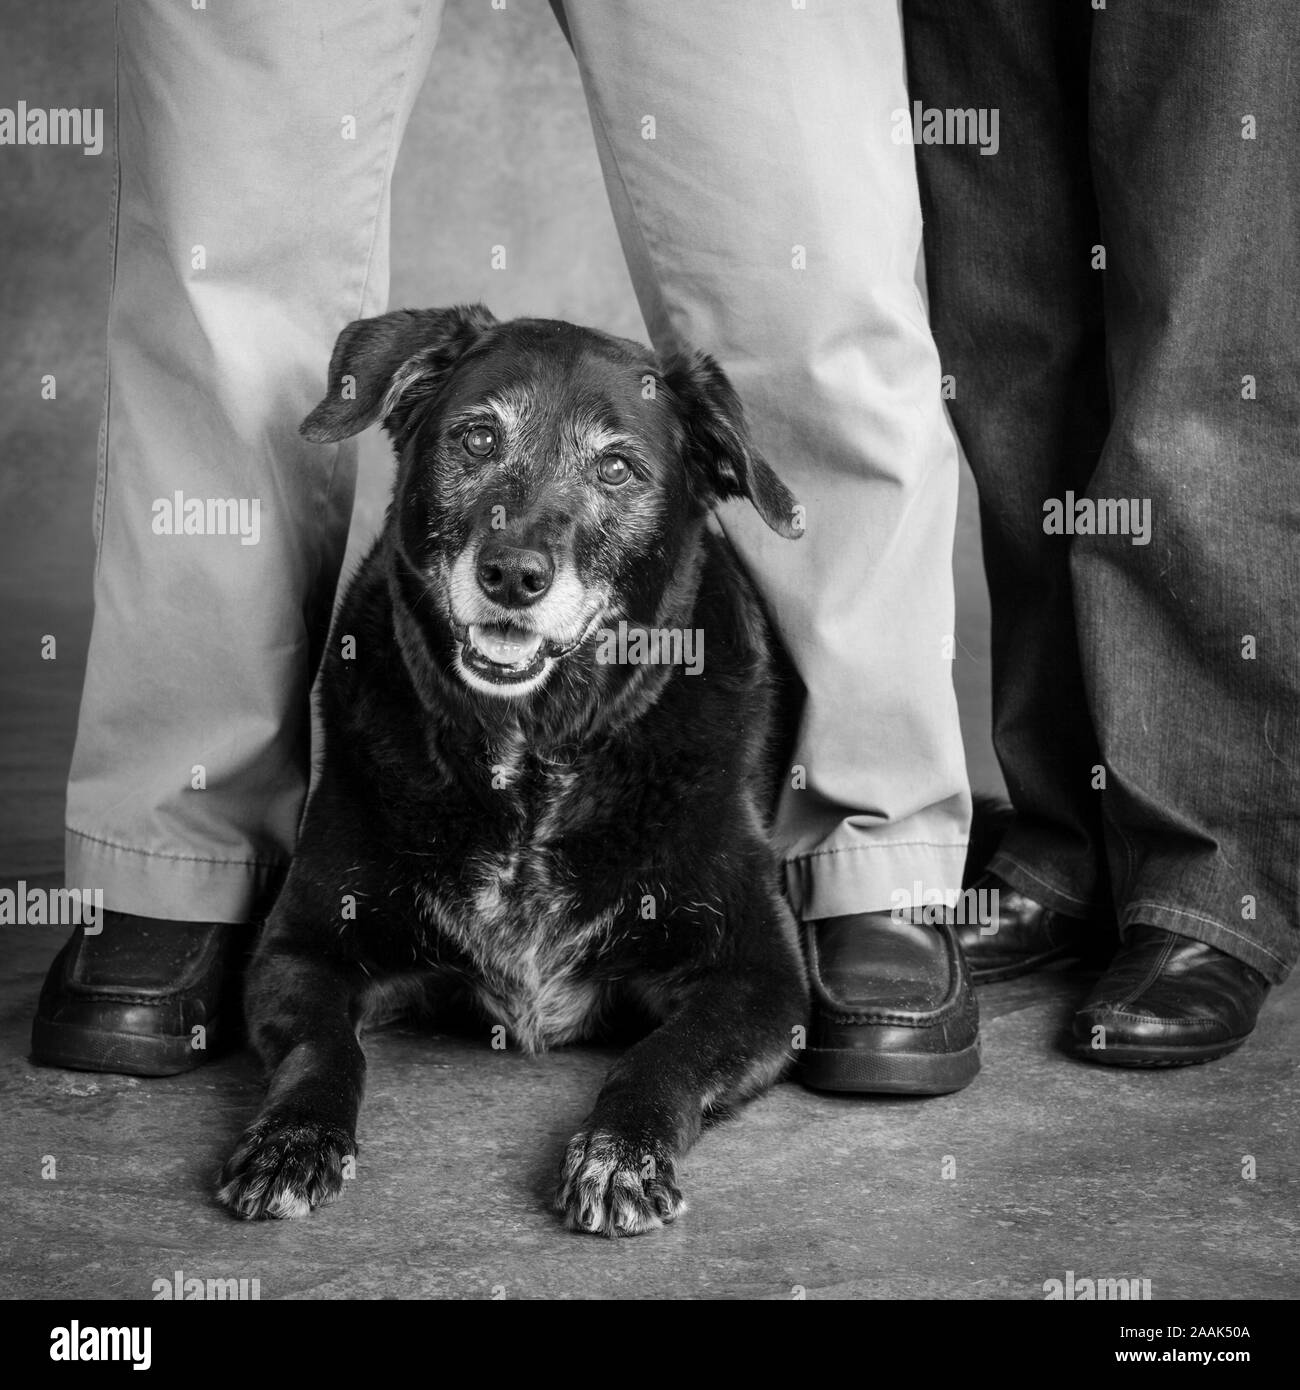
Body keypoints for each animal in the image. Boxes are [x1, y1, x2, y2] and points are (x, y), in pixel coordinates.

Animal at [221, 307, 811, 1239]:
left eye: (616, 467)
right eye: (476, 437)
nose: (512, 575)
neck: (532, 761)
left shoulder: (761, 979)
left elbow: (663, 1056)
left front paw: (620, 1152)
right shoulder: (298, 947)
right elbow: (324, 1048)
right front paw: (293, 1139)